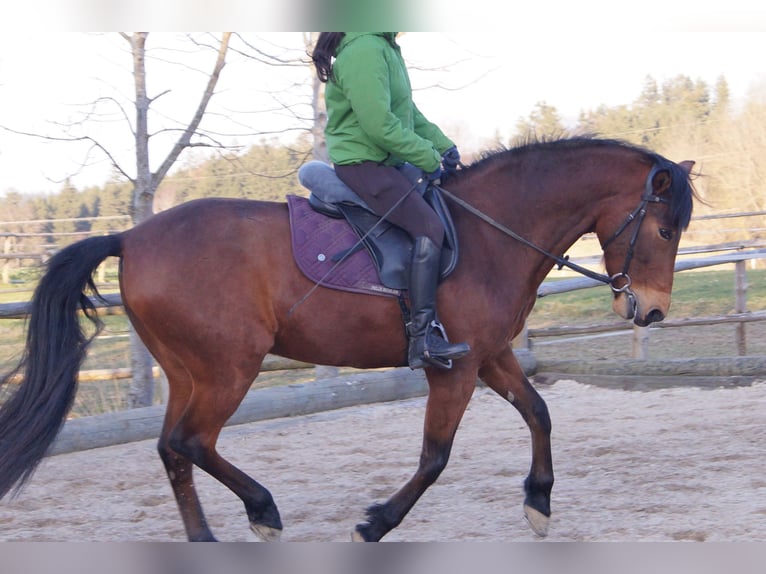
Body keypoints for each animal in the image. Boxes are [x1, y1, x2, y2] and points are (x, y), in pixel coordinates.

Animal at [0, 137, 696, 542]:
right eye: (665, 231)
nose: (653, 312)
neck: (490, 234)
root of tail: (130, 237)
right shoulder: (453, 368)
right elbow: (436, 456)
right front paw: (377, 523)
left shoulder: (491, 355)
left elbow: (541, 412)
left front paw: (540, 502)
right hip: (228, 368)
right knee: (190, 442)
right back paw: (263, 510)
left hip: (188, 371)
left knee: (173, 450)